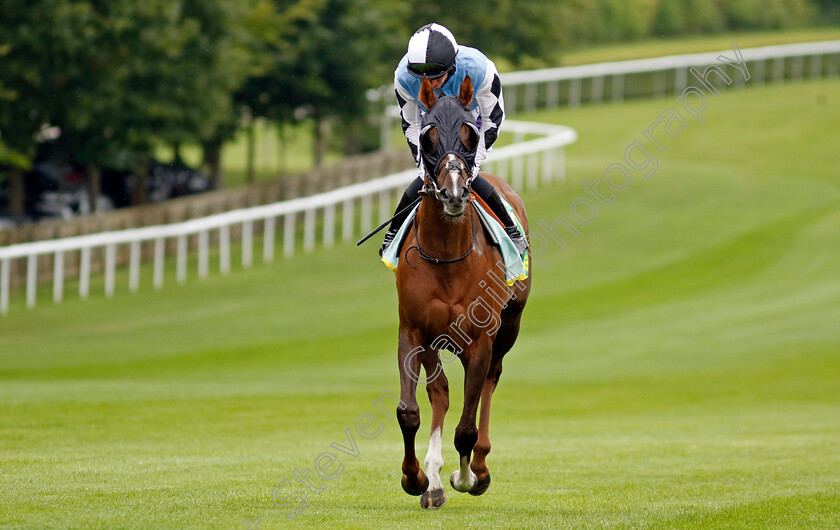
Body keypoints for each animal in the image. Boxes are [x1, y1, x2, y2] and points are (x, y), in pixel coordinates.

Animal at [396, 74, 532, 508]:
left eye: (470, 134)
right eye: (428, 137)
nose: (454, 192)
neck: (446, 257)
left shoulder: (480, 339)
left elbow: (467, 428)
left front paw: (467, 476)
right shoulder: (414, 331)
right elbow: (410, 410)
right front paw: (417, 478)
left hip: (508, 328)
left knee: (490, 381)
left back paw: (478, 468)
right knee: (440, 393)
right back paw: (434, 479)